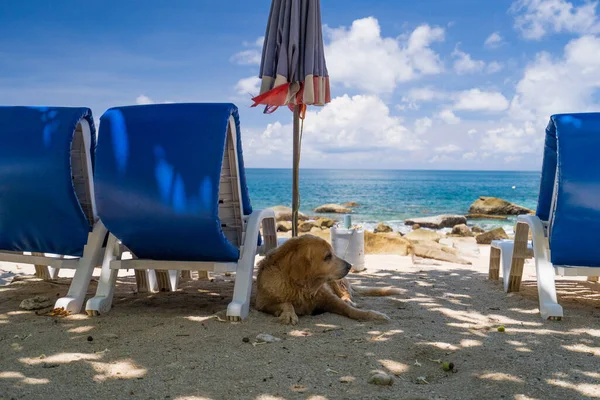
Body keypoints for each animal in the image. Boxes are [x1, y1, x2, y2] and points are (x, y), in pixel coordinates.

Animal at [255, 234, 400, 324]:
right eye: (328, 256)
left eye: (333, 253)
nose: (350, 266)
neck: (301, 287)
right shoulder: (262, 304)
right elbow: (286, 303)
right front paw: (289, 314)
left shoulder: (329, 298)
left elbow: (349, 310)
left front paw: (373, 315)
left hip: (336, 282)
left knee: (346, 294)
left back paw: (348, 300)